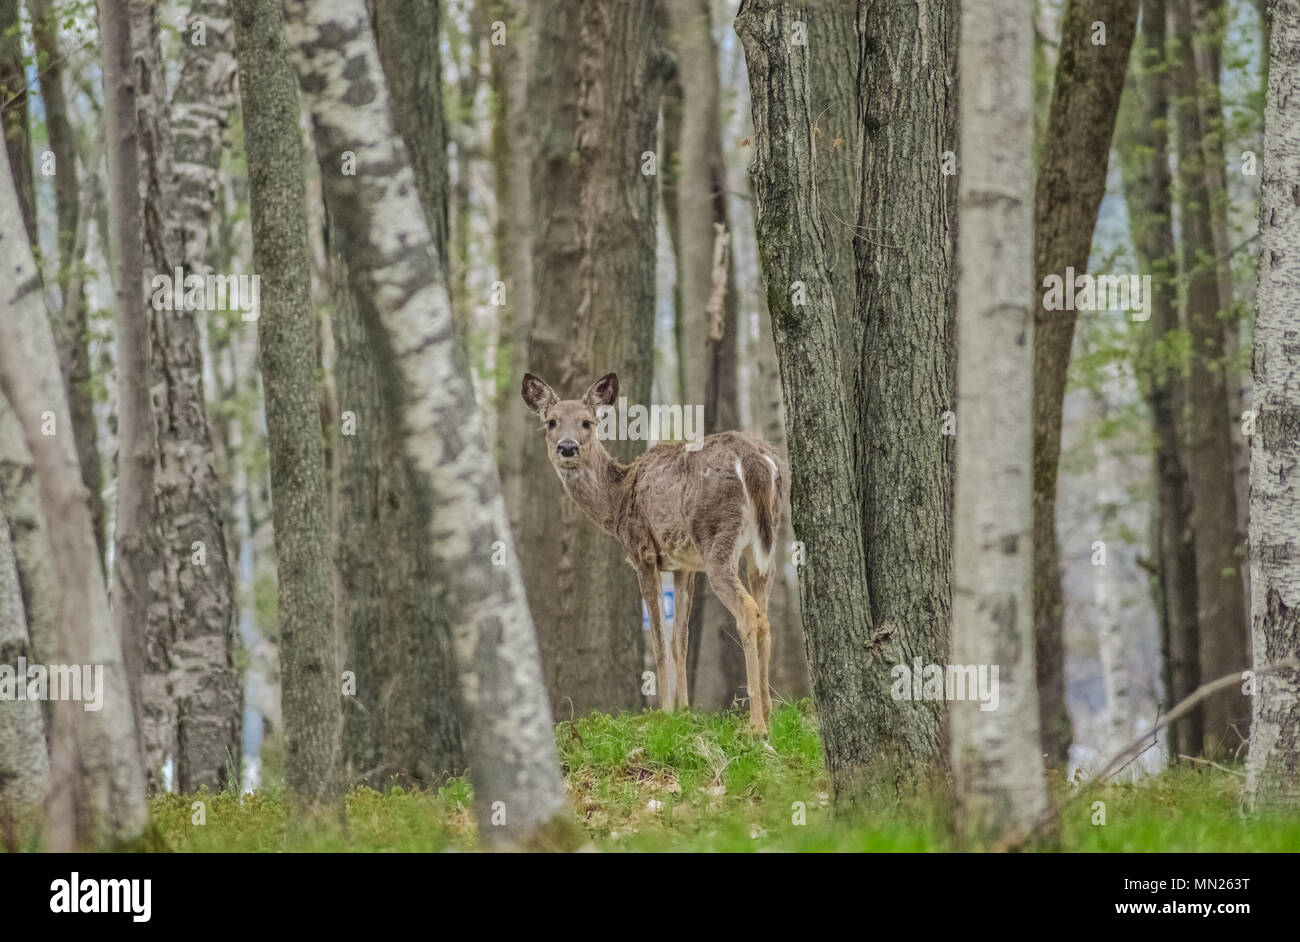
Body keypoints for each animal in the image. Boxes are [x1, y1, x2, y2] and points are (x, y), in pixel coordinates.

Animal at [520, 369, 785, 732]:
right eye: (551, 421)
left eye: (588, 422)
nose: (567, 447)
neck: (617, 500)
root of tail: (756, 461)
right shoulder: (684, 565)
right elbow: (680, 641)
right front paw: (686, 711)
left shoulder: (642, 552)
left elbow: (659, 639)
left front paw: (665, 713)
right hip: (764, 546)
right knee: (765, 616)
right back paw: (770, 713)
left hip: (717, 537)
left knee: (747, 612)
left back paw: (756, 725)